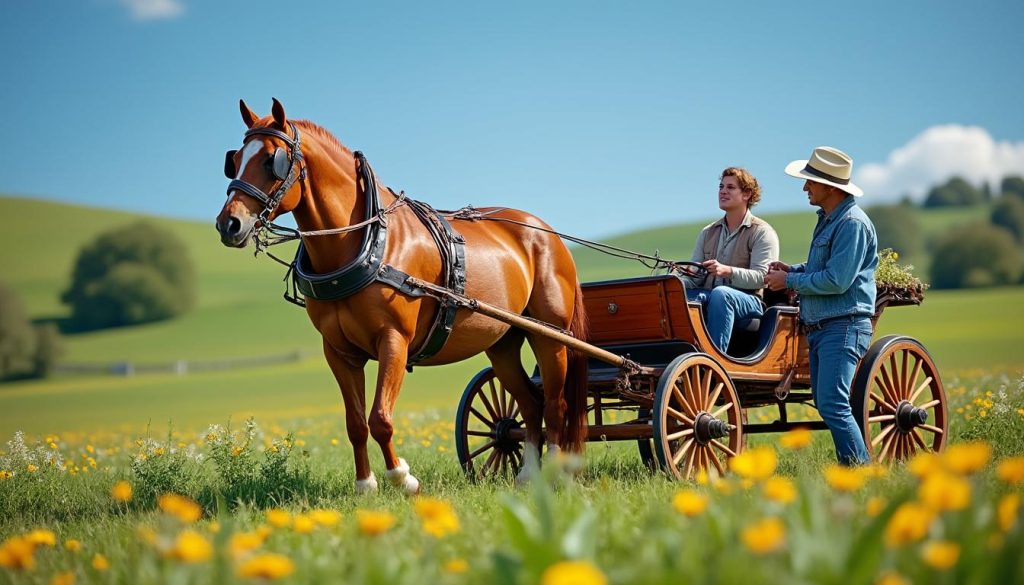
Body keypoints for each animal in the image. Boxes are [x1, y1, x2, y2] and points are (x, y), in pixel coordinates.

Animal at [215, 99, 589, 494]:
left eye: (271, 161)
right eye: (234, 159)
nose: (228, 224)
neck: (366, 243)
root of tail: (546, 232)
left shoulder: (393, 340)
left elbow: (380, 418)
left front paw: (403, 478)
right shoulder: (339, 351)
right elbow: (355, 423)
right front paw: (365, 485)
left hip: (550, 336)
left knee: (555, 406)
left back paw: (555, 473)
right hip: (503, 341)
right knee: (530, 405)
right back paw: (528, 475)